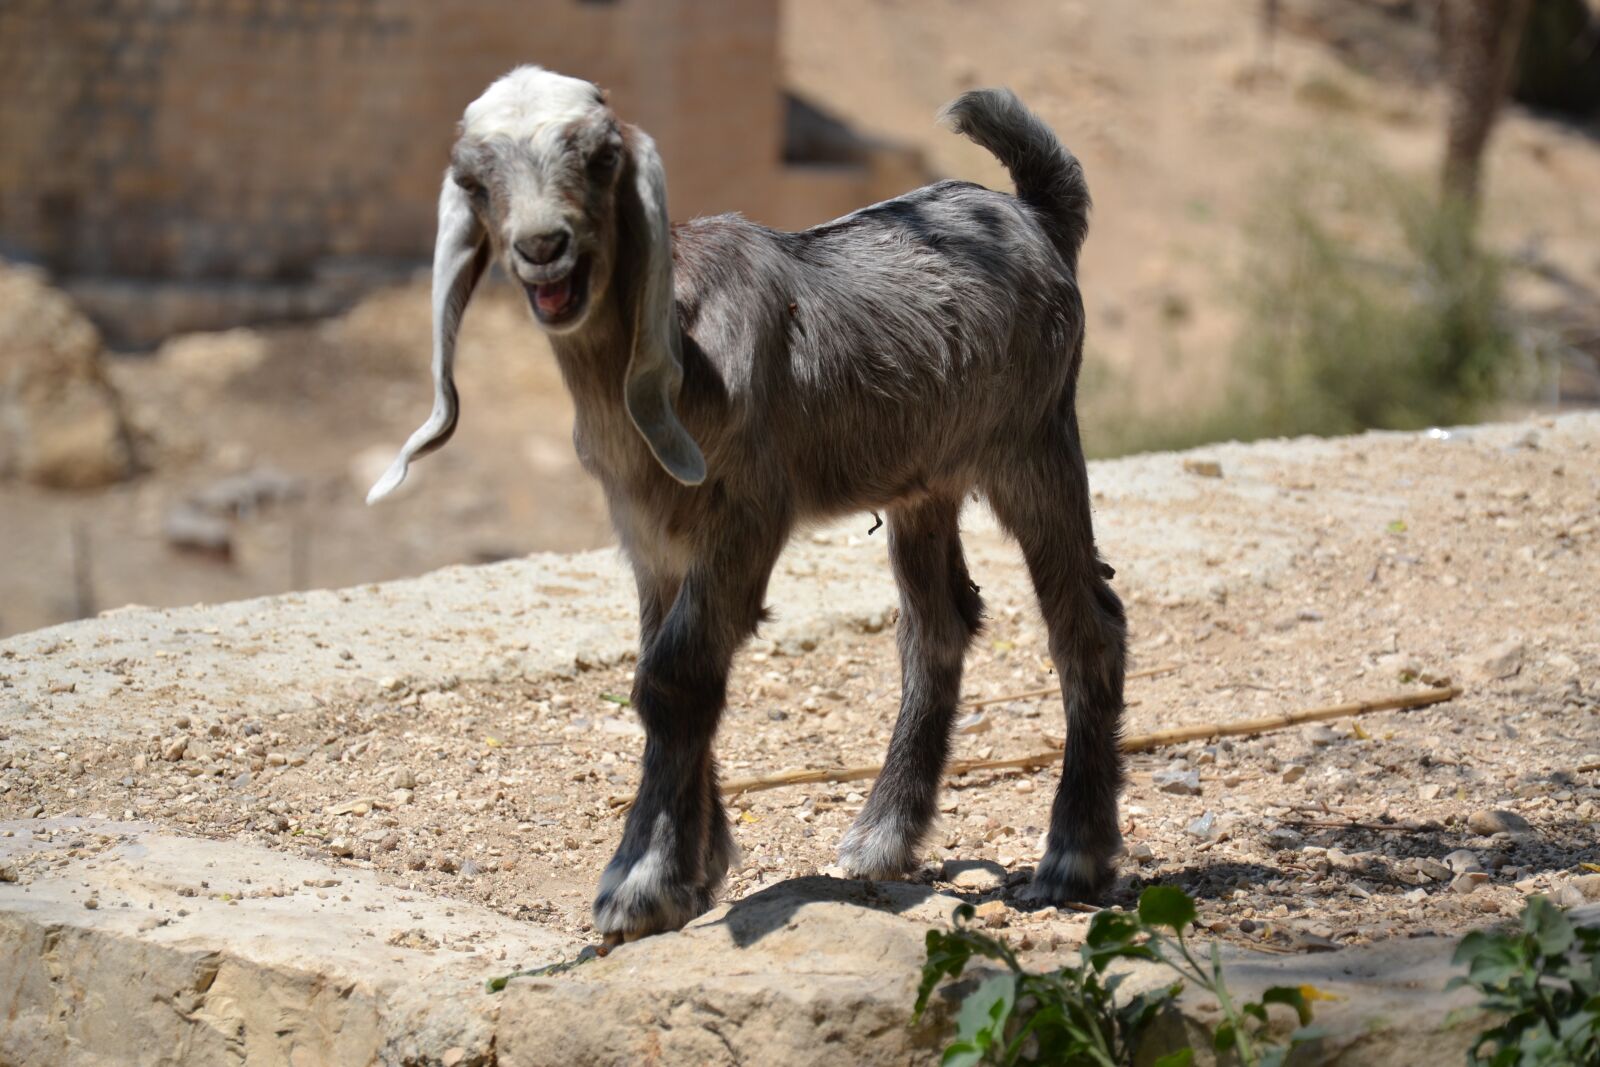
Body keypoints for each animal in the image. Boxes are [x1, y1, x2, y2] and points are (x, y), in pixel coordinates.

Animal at [368, 66, 1126, 939]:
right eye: (473, 177)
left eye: (600, 158)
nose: (542, 246)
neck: (676, 359)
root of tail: (1037, 214)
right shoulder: (651, 533)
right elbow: (665, 672)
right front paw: (697, 866)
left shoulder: (747, 512)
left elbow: (676, 674)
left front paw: (641, 881)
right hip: (923, 479)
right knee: (940, 626)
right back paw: (883, 833)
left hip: (1032, 441)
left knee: (1087, 622)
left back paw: (1071, 855)